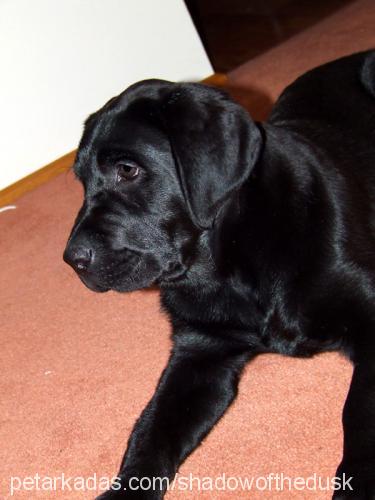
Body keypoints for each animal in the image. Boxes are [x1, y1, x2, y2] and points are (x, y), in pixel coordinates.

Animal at [64, 49, 375, 496]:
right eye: (82, 181)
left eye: (128, 170)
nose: (72, 260)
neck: (228, 264)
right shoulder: (199, 352)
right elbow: (150, 431)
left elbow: (358, 414)